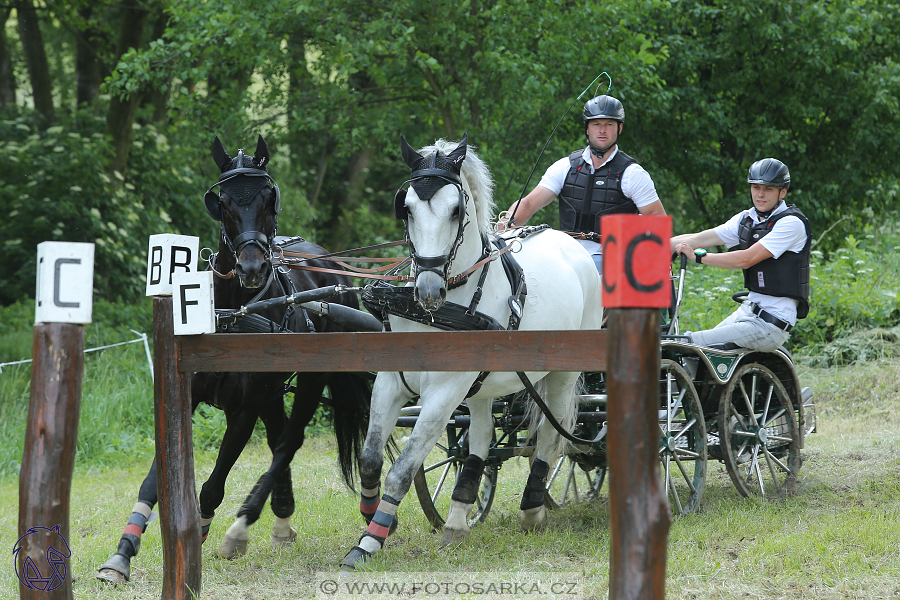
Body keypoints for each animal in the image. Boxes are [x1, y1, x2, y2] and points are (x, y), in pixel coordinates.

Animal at [101, 136, 372, 580]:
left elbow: (212, 486)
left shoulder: (244, 409)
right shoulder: (188, 394)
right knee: (280, 436)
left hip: (310, 378)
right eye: (224, 202)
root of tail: (331, 265)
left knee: (290, 441)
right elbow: (154, 480)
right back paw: (281, 519)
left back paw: (245, 524)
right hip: (275, 389)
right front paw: (122, 553)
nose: (252, 267)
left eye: (268, 199)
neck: (235, 310)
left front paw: (204, 531)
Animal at [342, 134, 600, 568]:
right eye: (406, 208)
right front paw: (377, 516)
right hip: (479, 387)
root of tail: (574, 243)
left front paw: (369, 541)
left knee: (551, 432)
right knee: (479, 439)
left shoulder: (444, 392)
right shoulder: (392, 382)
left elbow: (402, 467)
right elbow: (372, 458)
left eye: (455, 209)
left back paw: (532, 509)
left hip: (563, 372)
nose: (429, 290)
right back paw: (459, 518)